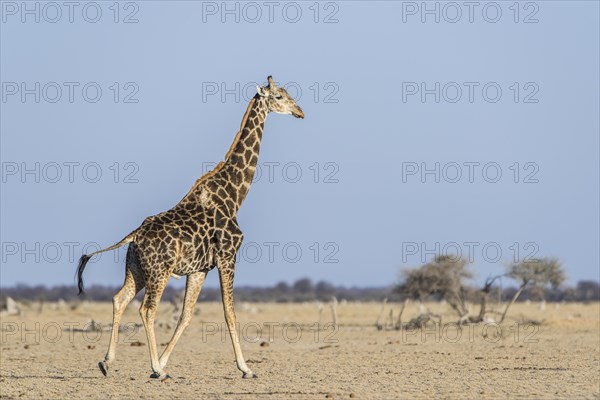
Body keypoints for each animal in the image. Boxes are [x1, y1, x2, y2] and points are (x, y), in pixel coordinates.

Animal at [77, 76, 302, 380]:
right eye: (279, 96)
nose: (300, 112)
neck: (234, 196)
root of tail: (134, 236)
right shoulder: (228, 256)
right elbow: (229, 312)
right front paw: (246, 368)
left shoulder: (199, 268)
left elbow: (186, 315)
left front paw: (164, 361)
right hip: (159, 272)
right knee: (147, 310)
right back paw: (155, 369)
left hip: (136, 269)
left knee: (119, 299)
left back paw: (107, 362)